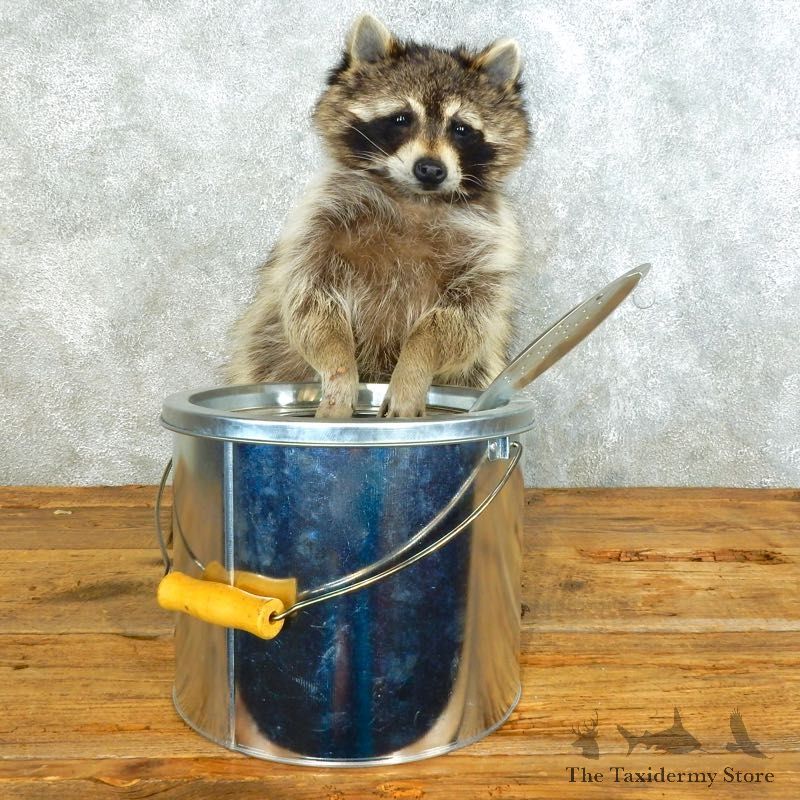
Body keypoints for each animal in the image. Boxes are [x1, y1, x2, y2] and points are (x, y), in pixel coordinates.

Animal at [227, 14, 530, 417]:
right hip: (266, 357)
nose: (430, 169)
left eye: (461, 128)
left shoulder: (490, 246)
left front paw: (415, 365)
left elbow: (461, 323)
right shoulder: (317, 224)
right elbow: (309, 305)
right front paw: (339, 371)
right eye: (402, 118)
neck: (415, 198)